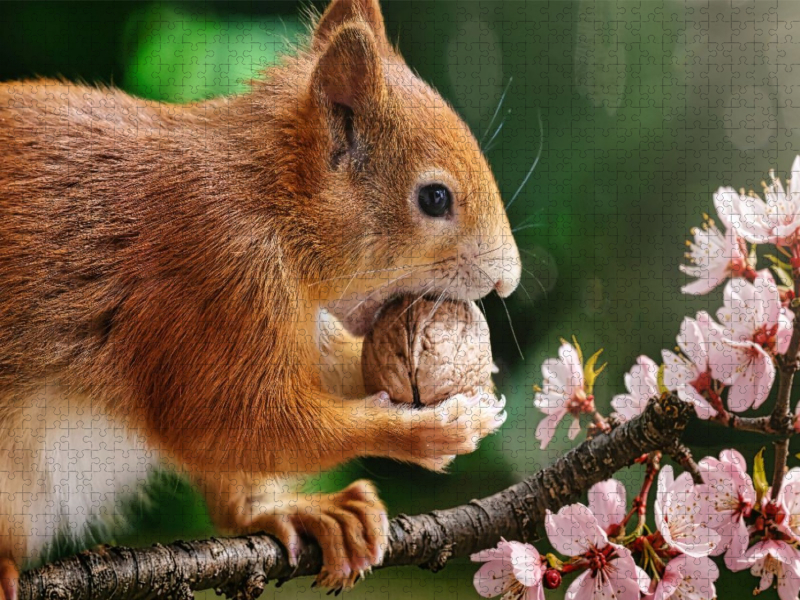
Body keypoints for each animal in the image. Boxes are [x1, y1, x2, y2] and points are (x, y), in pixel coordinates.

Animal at [0, 0, 521, 596]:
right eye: (434, 198)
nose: (508, 279)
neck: (271, 202)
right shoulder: (217, 282)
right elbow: (230, 421)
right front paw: (427, 430)